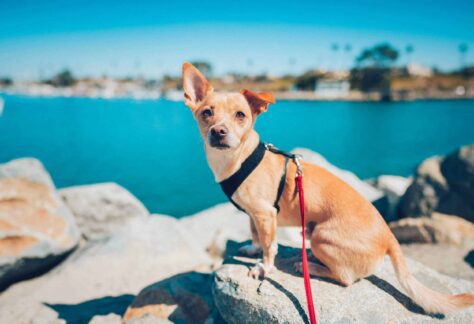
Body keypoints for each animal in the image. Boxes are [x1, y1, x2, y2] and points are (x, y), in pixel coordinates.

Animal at [181, 61, 474, 314]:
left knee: (346, 278)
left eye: (241, 115)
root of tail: (389, 235)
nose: (218, 131)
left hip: (321, 237)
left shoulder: (266, 214)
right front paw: (252, 249)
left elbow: (270, 246)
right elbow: (256, 235)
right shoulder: (255, 215)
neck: (237, 159)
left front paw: (264, 267)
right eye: (207, 113)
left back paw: (308, 266)